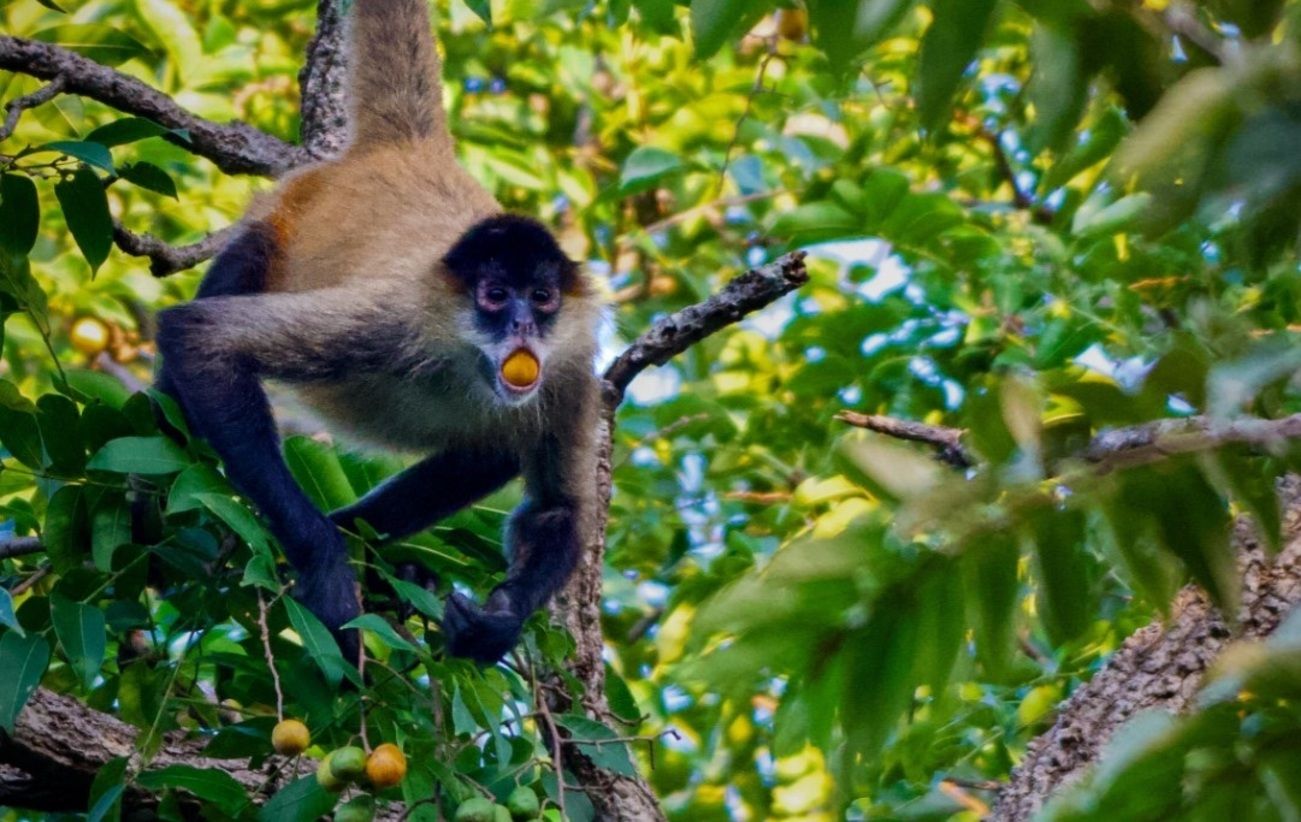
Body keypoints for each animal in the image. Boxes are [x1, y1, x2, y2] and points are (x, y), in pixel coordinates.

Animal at [153, 0, 603, 665]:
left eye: (542, 298)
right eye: (495, 296)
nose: (523, 322)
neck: (467, 362)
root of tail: (408, 150)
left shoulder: (571, 366)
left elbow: (556, 510)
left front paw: (497, 623)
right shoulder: (393, 317)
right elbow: (199, 338)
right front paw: (325, 563)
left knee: (491, 448)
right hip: (279, 225)